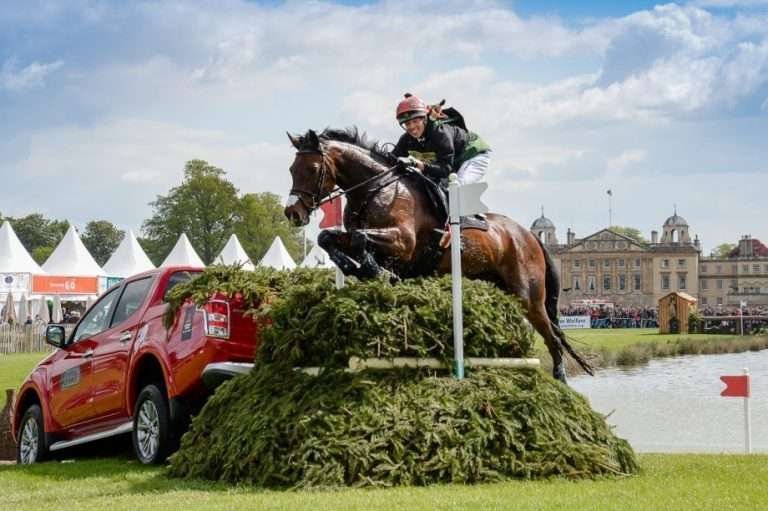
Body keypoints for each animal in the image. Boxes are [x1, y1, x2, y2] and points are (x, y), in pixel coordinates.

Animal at [284, 128, 592, 384]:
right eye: (291, 169)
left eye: (312, 168)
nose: (293, 213)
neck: (376, 189)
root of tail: (529, 235)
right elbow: (328, 238)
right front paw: (356, 267)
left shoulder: (403, 241)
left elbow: (362, 240)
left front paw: (377, 271)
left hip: (529, 296)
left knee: (553, 338)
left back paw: (561, 381)